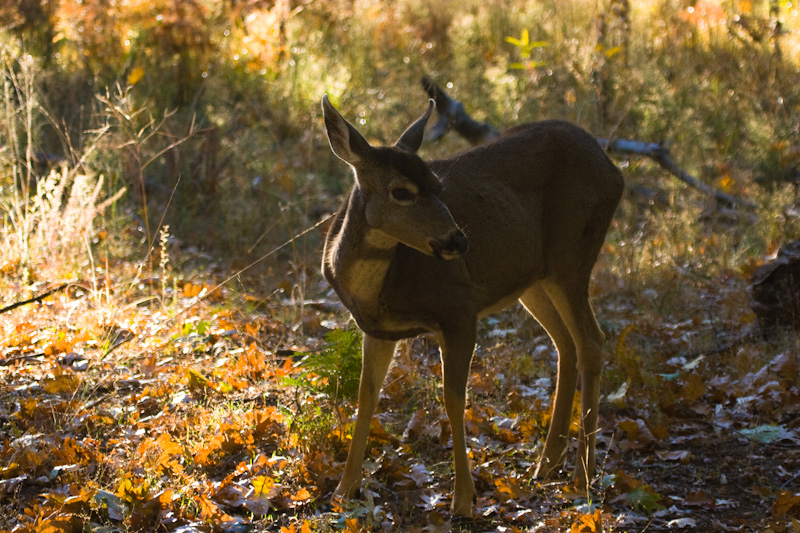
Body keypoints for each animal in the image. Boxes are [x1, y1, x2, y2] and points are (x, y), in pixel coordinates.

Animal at [320, 92, 624, 516]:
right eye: (401, 191)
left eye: (437, 184)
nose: (459, 241)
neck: (376, 290)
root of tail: (614, 169)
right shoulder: (377, 328)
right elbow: (367, 396)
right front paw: (343, 490)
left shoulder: (460, 309)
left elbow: (453, 398)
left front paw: (463, 498)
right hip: (532, 277)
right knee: (567, 343)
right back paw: (547, 463)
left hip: (571, 255)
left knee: (591, 342)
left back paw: (583, 474)